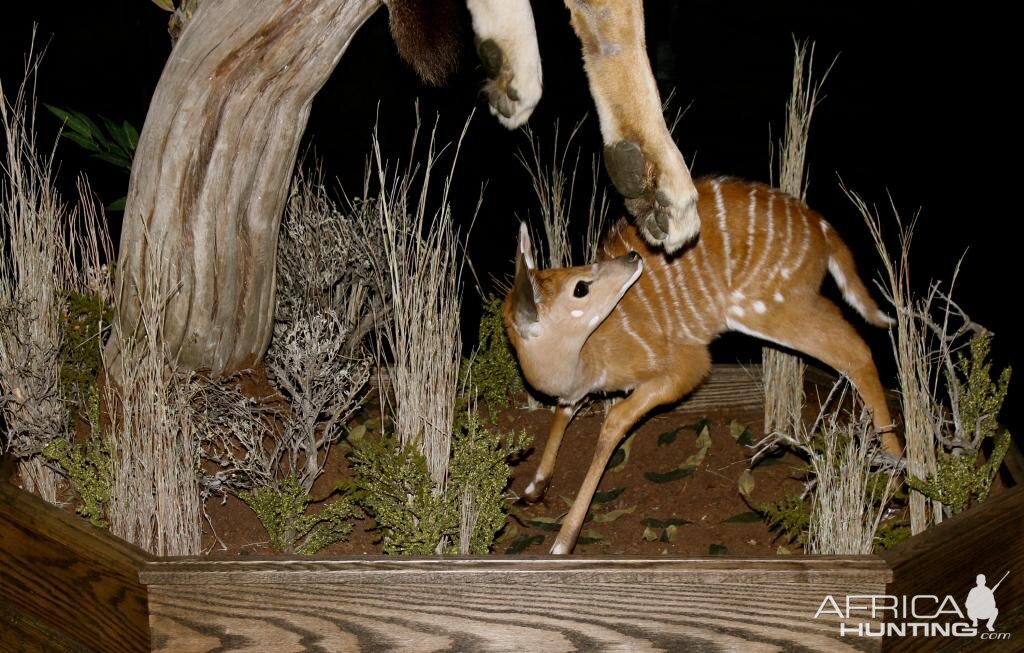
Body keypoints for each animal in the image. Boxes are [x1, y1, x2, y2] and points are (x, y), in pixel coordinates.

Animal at [503, 176, 897, 556]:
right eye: (578, 282)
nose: (633, 256)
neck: (590, 356)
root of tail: (822, 229)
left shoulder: (685, 366)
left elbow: (614, 422)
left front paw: (562, 541)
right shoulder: (580, 391)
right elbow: (564, 409)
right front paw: (533, 488)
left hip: (768, 309)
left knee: (855, 351)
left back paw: (894, 475)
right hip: (797, 301)